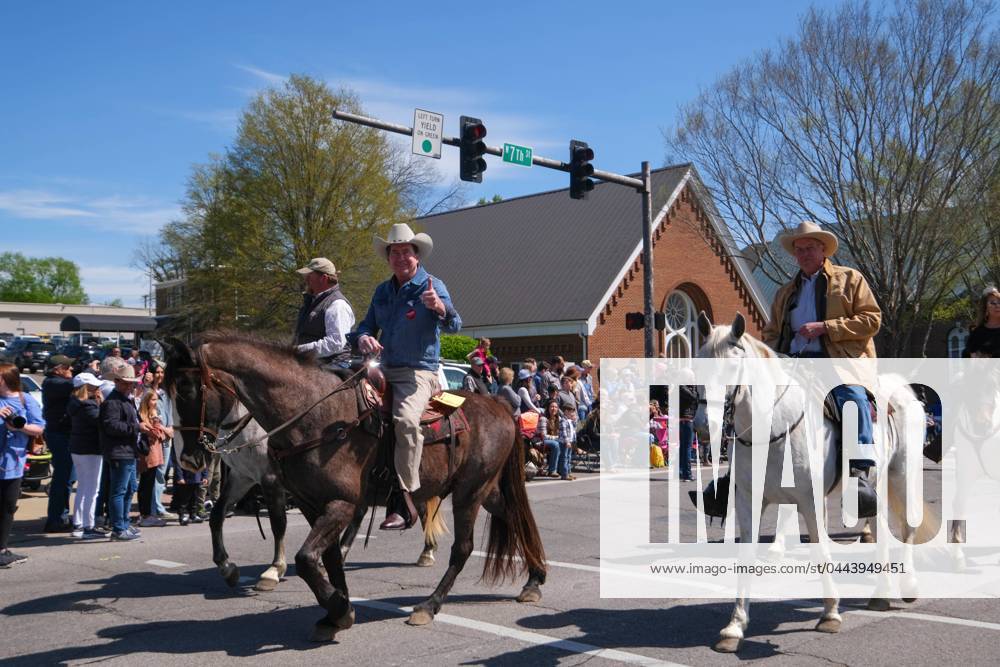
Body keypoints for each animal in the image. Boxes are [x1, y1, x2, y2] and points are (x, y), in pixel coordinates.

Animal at [195, 334, 548, 640]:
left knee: (463, 548)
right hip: (484, 490)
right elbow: (326, 557)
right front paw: (336, 612)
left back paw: (429, 605)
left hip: (469, 493)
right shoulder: (308, 502)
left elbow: (305, 555)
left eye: (193, 388)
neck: (315, 416)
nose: (195, 455)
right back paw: (534, 579)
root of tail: (500, 405)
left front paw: (336, 606)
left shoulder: (335, 501)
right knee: (514, 518)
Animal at [696, 314, 936, 652]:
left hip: (903, 475)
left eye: (732, 367)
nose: (704, 427)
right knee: (879, 533)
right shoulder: (749, 501)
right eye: (698, 365)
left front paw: (830, 615)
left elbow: (821, 552)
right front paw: (734, 627)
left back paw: (908, 585)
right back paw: (881, 593)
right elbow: (746, 558)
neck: (776, 425)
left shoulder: (810, 501)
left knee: (908, 528)